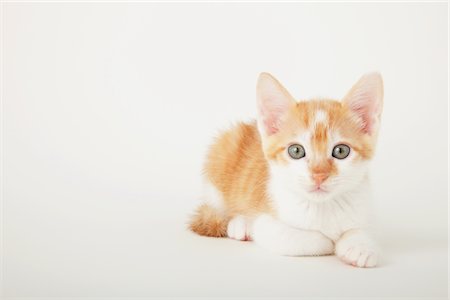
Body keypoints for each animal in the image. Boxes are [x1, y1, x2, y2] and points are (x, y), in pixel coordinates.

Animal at [189, 72, 384, 268]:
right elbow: (305, 239)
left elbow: (361, 229)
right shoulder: (268, 224)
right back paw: (240, 225)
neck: (321, 207)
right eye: (296, 151)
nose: (319, 175)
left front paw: (359, 247)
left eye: (341, 151)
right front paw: (330, 241)